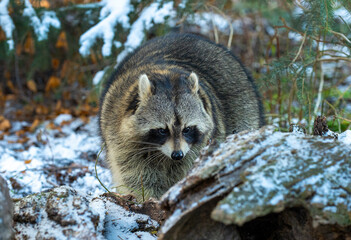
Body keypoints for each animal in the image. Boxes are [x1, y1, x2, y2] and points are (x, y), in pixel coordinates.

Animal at [99, 33, 264, 199]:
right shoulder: (122, 142)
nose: (177, 155)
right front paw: (148, 198)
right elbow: (137, 175)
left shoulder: (198, 146)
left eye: (187, 129)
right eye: (162, 130)